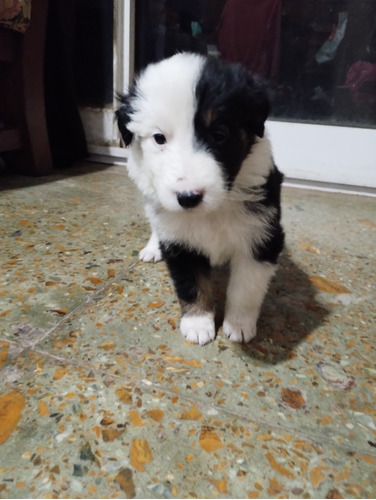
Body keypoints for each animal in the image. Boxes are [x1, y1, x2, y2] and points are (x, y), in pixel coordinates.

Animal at [116, 52, 284, 346]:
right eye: (159, 138)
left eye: (220, 134)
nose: (188, 197)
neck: (212, 211)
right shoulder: (179, 240)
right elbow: (192, 284)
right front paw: (198, 323)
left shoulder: (262, 236)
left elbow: (246, 288)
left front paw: (238, 325)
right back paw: (152, 248)